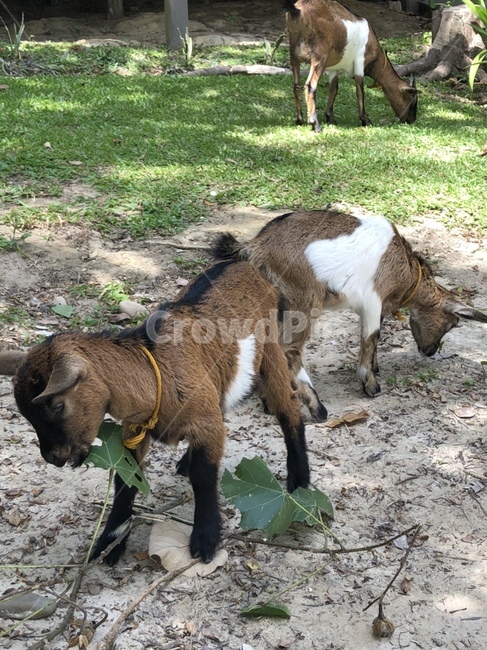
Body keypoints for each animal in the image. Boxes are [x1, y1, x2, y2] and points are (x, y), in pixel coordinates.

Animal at [0, 260, 312, 565]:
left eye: (57, 405)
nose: (52, 457)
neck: (155, 371)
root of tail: (243, 263)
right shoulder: (135, 430)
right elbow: (126, 478)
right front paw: (110, 543)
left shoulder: (203, 421)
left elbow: (203, 475)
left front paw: (205, 540)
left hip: (270, 351)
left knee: (288, 408)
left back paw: (300, 479)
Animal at [212, 210, 487, 398]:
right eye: (452, 324)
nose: (429, 351)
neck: (405, 269)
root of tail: (257, 244)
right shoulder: (373, 298)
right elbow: (371, 336)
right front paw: (370, 384)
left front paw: (375, 367)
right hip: (303, 299)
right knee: (288, 345)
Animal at [284, 0, 418, 130]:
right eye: (412, 98)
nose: (411, 120)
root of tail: (297, 11)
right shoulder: (360, 62)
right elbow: (360, 91)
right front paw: (365, 120)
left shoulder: (334, 69)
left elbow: (333, 89)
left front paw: (330, 118)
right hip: (319, 57)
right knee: (310, 86)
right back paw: (315, 124)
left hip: (294, 56)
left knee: (296, 86)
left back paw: (299, 120)